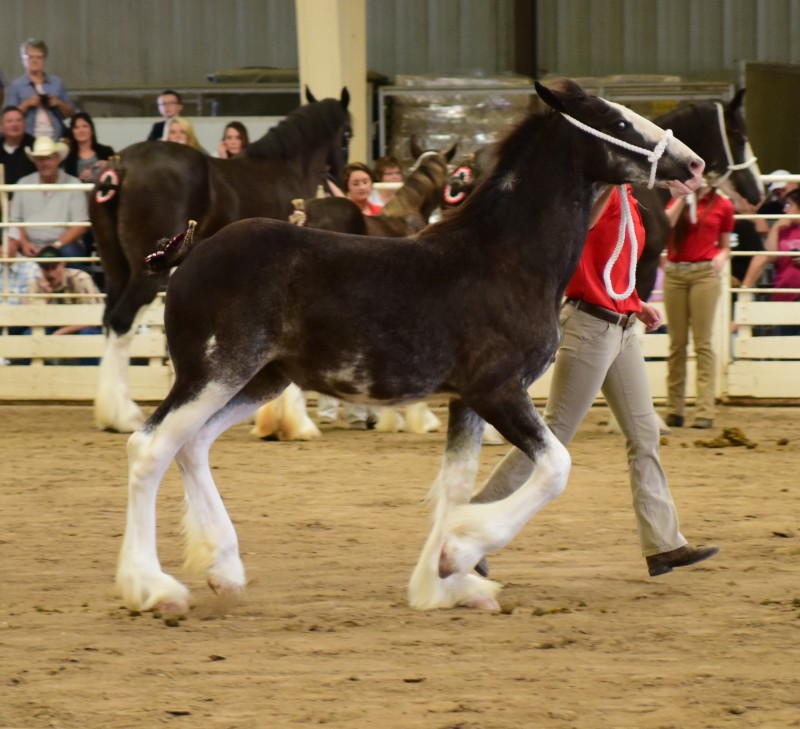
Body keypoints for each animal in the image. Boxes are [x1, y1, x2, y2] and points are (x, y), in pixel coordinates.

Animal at [90, 89, 352, 434]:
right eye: (347, 134)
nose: (345, 178)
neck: (284, 168)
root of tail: (119, 167)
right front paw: (295, 423)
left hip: (115, 268)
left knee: (109, 321)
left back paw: (111, 413)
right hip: (144, 273)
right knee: (122, 322)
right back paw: (124, 415)